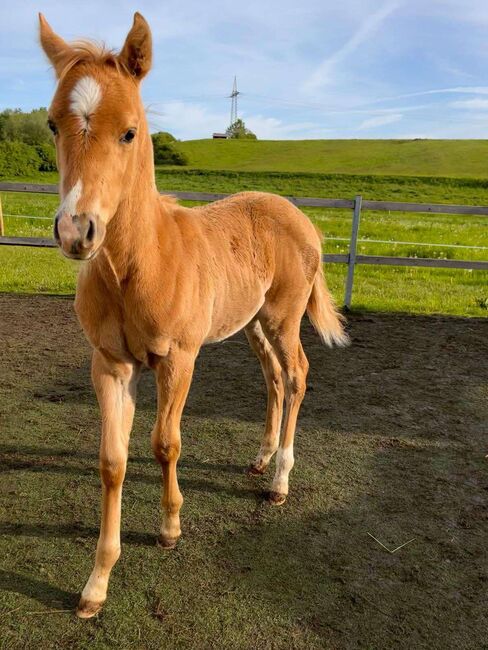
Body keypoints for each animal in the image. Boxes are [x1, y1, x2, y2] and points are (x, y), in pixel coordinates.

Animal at [40, 12, 348, 616]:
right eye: (52, 125)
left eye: (130, 131)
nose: (76, 231)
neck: (139, 264)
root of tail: (300, 217)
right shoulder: (109, 364)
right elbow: (112, 460)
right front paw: (96, 584)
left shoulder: (178, 359)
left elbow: (165, 443)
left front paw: (169, 527)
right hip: (253, 324)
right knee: (273, 379)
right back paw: (261, 457)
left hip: (283, 318)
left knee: (297, 374)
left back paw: (279, 480)